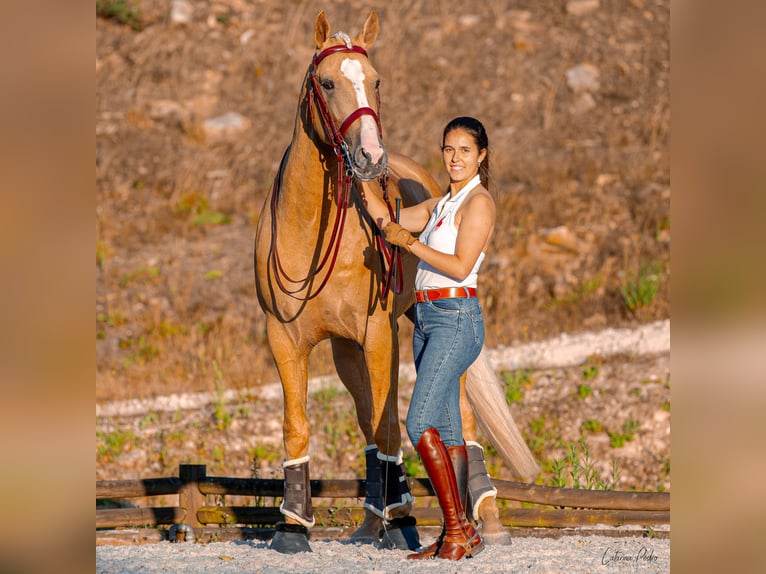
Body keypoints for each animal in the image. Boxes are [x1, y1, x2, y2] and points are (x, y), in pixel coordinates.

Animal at [255, 9, 536, 556]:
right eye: (327, 82)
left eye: (377, 81)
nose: (369, 158)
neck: (309, 231)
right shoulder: (285, 338)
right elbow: (299, 426)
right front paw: (292, 526)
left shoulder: (380, 334)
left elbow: (390, 428)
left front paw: (401, 522)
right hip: (346, 351)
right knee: (369, 420)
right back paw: (372, 522)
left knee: (458, 421)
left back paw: (480, 520)